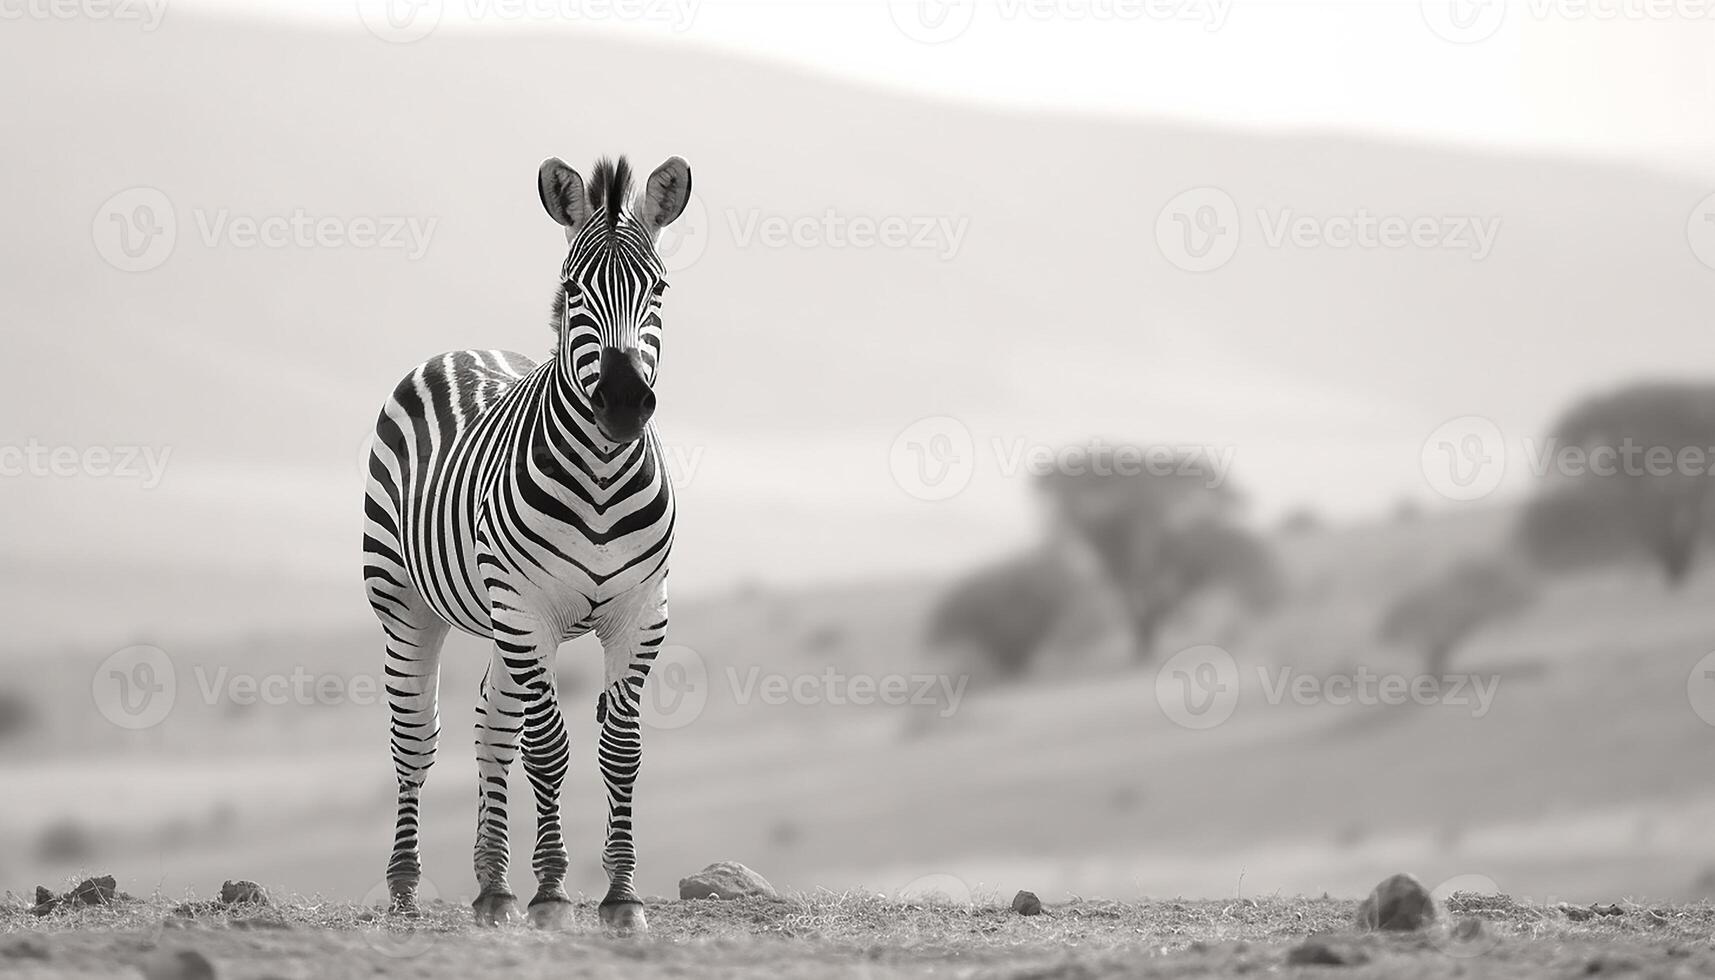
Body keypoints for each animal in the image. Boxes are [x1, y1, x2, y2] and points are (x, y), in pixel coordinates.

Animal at [360, 155, 689, 933]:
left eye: (659, 289)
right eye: (572, 291)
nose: (623, 405)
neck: (602, 474)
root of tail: (461, 348)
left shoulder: (642, 613)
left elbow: (619, 750)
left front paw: (621, 896)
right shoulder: (526, 609)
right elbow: (548, 750)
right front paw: (552, 893)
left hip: (503, 625)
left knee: (490, 727)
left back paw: (492, 887)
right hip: (407, 604)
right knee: (416, 739)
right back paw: (406, 887)